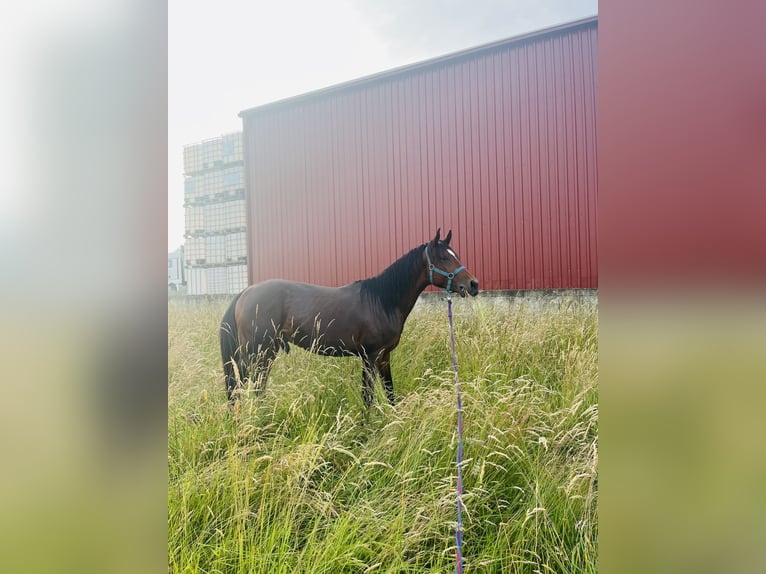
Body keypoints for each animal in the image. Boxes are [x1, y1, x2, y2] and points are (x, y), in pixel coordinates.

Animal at [219, 227, 476, 408]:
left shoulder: (384, 357)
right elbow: (368, 397)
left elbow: (390, 392)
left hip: (266, 352)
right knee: (244, 385)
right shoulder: (370, 356)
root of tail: (246, 292)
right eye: (443, 258)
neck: (382, 301)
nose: (473, 284)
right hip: (257, 352)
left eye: (454, 255)